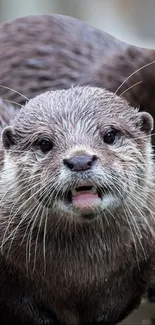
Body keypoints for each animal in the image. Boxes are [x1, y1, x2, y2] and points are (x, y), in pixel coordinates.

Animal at [0, 85, 155, 322]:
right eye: (44, 143)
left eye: (110, 135)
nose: (80, 160)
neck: (81, 276)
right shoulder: (13, 287)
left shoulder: (131, 281)